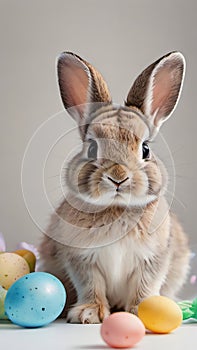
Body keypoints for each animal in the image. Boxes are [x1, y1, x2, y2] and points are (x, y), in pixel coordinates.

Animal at [39, 50, 190, 324]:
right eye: (91, 148)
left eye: (145, 149)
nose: (118, 177)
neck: (116, 207)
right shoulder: (81, 260)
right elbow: (91, 285)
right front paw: (88, 313)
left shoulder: (153, 260)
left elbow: (145, 286)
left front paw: (142, 310)